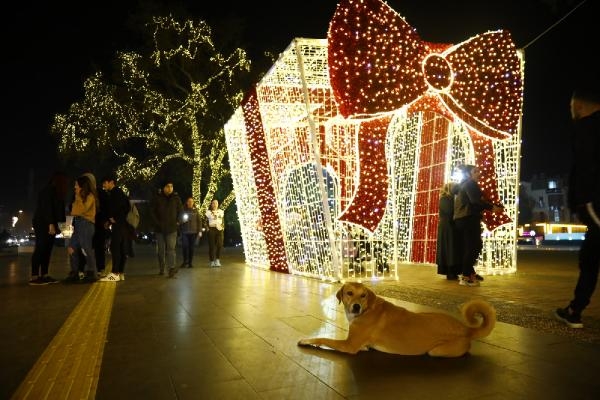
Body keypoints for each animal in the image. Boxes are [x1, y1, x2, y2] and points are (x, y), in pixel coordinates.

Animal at [296, 282, 496, 356]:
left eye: (363, 295)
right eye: (349, 293)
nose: (356, 306)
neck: (368, 309)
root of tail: (466, 328)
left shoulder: (349, 345)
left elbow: (323, 338)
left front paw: (306, 341)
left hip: (436, 351)